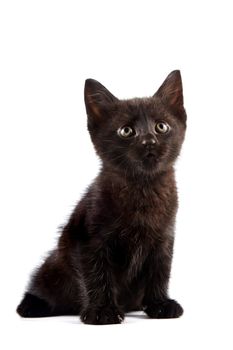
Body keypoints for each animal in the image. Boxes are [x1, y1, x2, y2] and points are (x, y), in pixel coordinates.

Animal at [17, 71, 187, 326]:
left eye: (161, 126)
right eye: (126, 131)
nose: (149, 141)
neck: (142, 189)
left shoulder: (164, 238)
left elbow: (160, 271)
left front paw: (159, 304)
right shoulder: (87, 238)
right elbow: (97, 274)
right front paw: (102, 311)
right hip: (54, 265)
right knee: (41, 284)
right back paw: (31, 306)